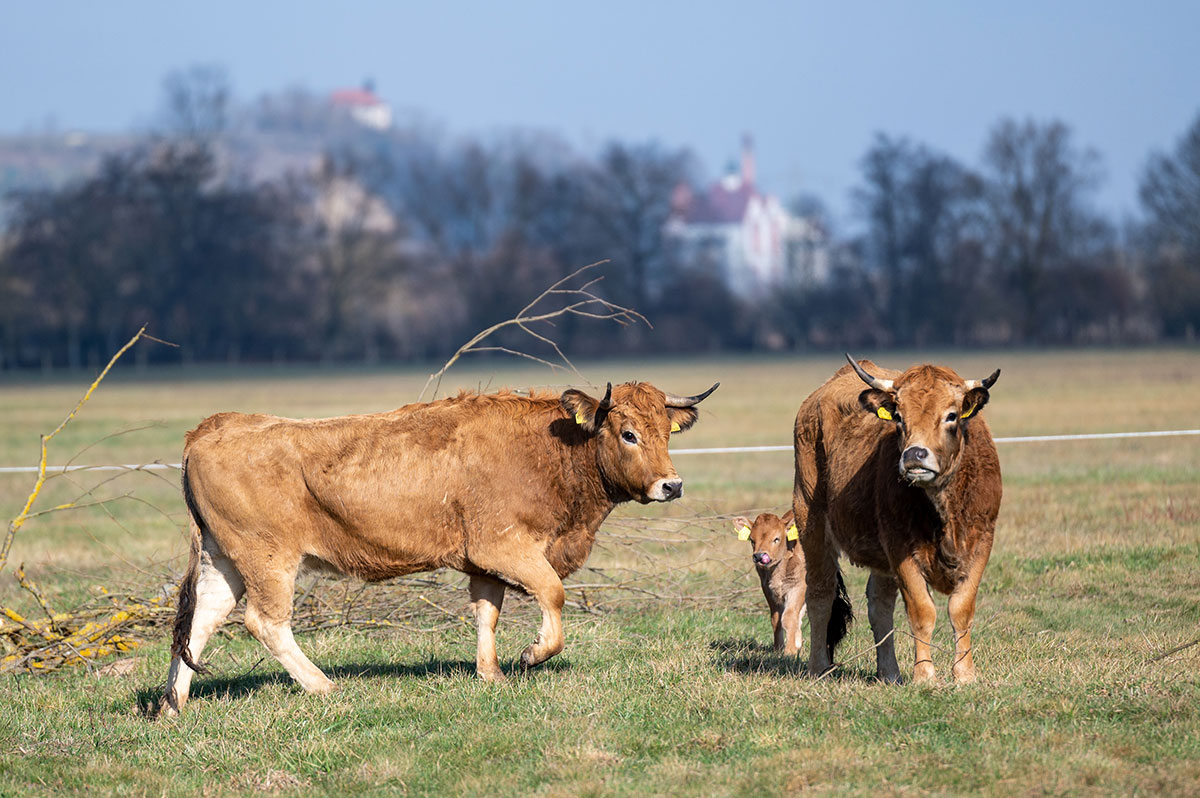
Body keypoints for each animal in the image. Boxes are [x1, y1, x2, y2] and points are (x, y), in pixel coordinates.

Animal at [158, 381, 710, 715]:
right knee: (264, 622)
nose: (672, 485)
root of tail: (215, 425)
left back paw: (173, 705)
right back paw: (323, 686)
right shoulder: (506, 547)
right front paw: (532, 654)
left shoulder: (484, 563)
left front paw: (491, 675)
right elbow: (552, 594)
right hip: (268, 560)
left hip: (224, 560)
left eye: (665, 433)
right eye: (628, 433)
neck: (549, 450)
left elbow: (487, 614)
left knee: (200, 622)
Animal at [796, 355, 1003, 686]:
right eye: (899, 418)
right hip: (809, 519)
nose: (915, 455)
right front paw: (925, 674)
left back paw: (889, 672)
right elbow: (922, 611)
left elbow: (961, 609)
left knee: (879, 605)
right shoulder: (901, 549)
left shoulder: (981, 542)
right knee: (820, 594)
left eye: (951, 415)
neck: (941, 511)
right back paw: (819, 668)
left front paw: (964, 673)